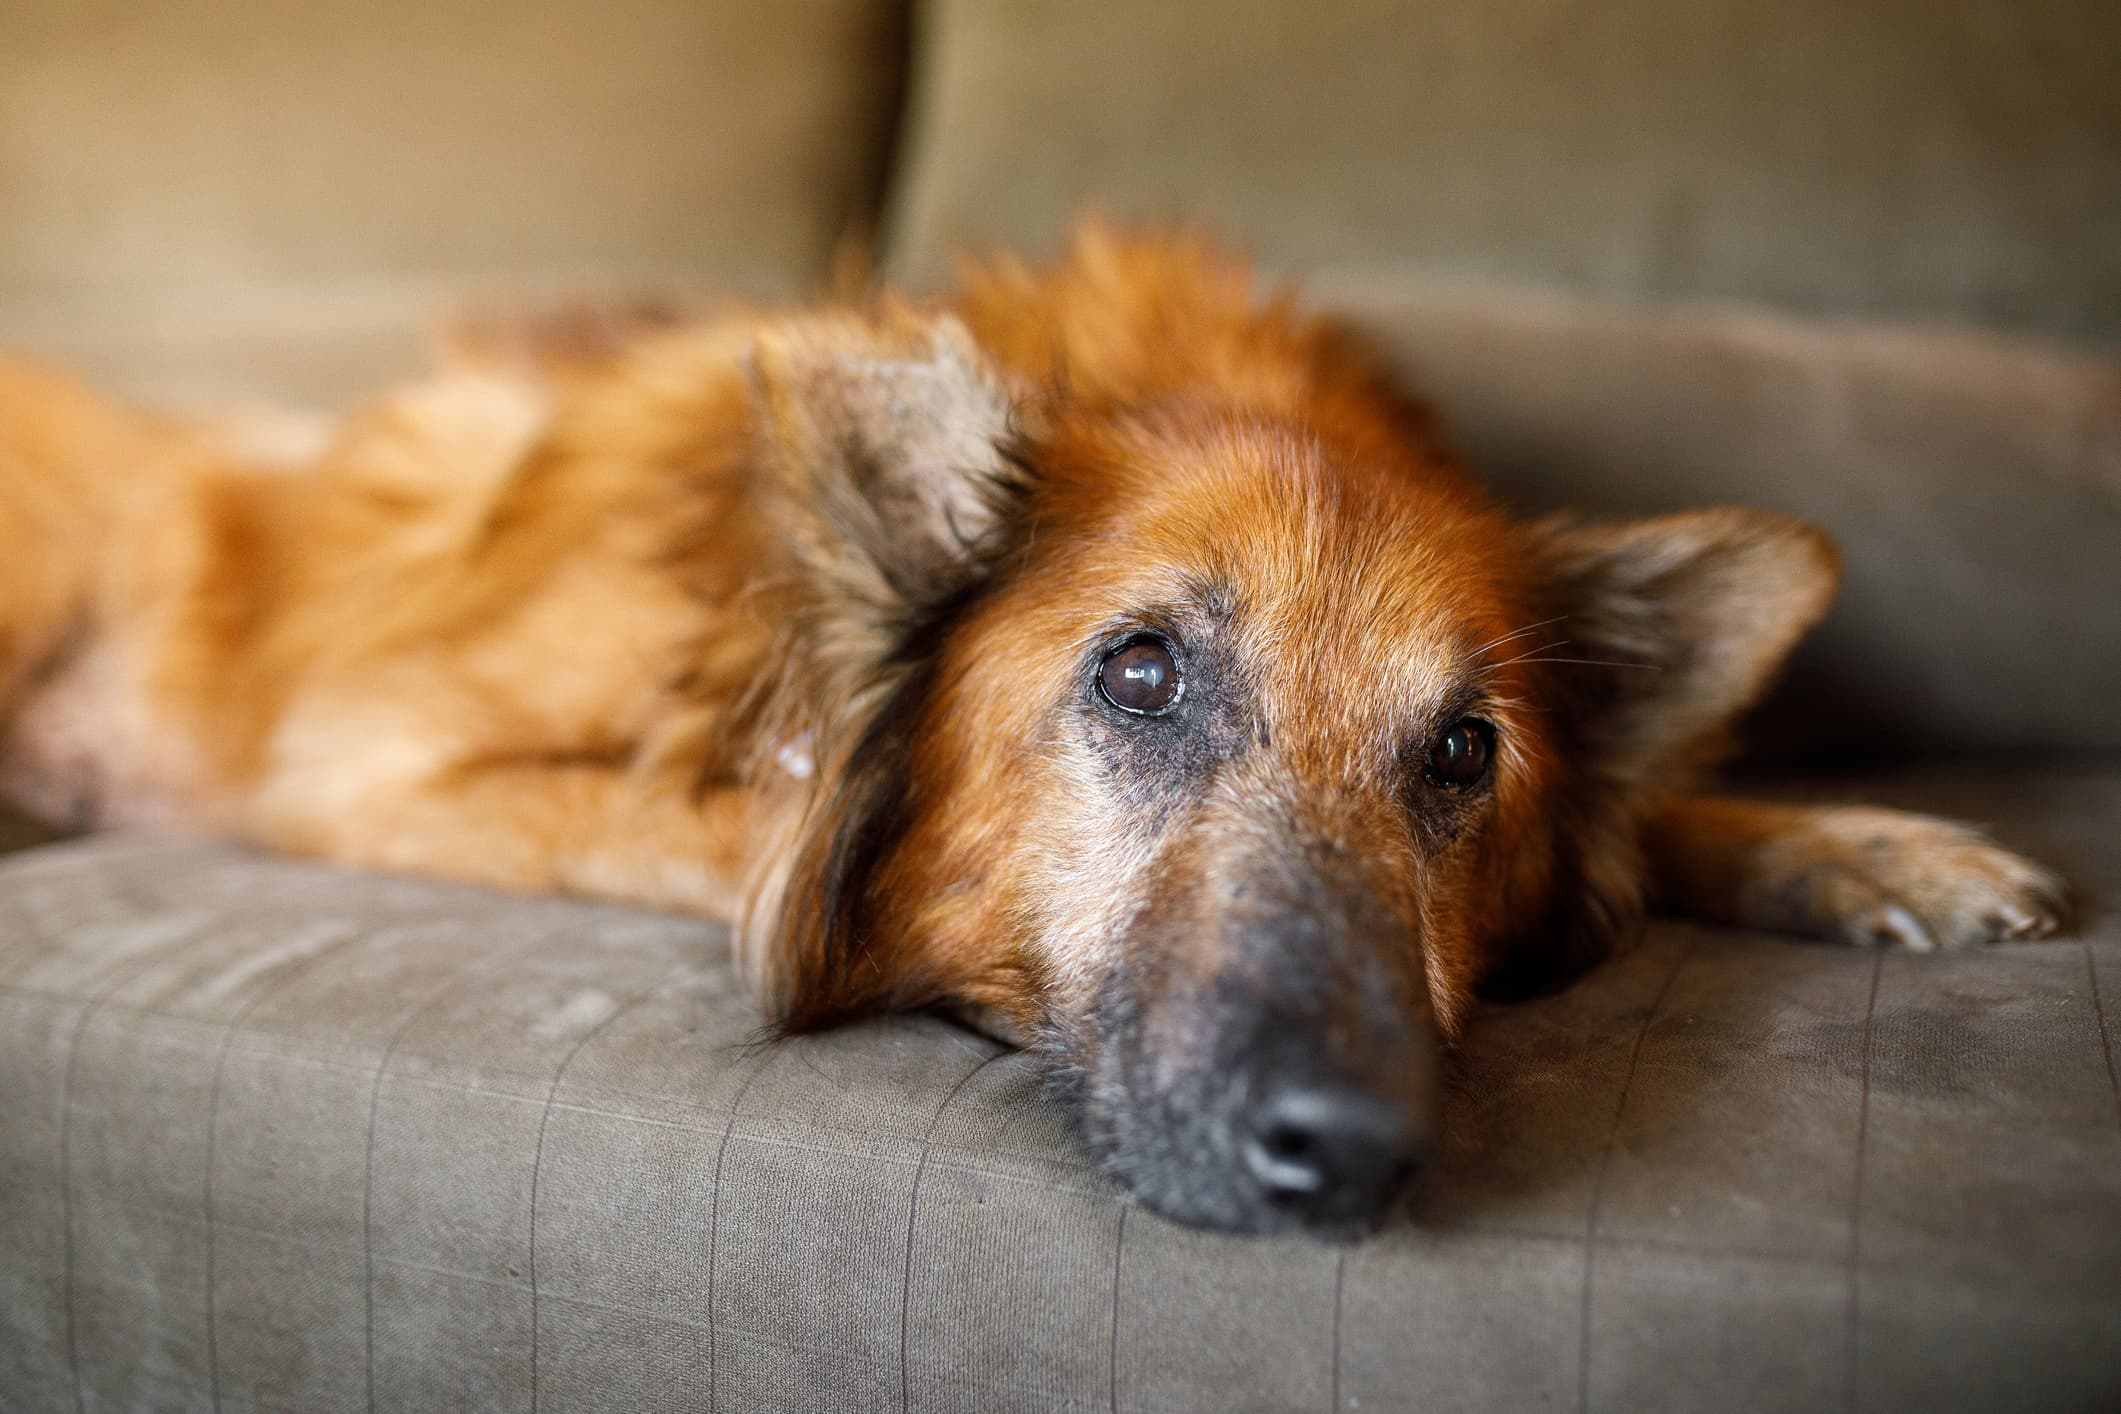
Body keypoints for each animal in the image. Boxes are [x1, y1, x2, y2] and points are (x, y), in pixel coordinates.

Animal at [0, 223, 2061, 1238]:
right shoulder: (374, 759)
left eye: (1467, 757)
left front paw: (1860, 841)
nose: (1359, 1149)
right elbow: (747, 818)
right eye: (1138, 674)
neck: (760, 614)